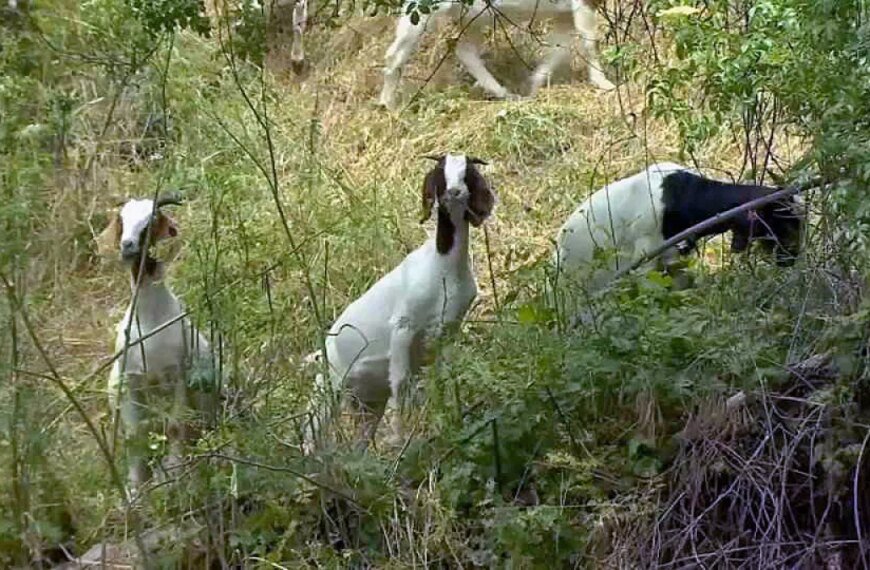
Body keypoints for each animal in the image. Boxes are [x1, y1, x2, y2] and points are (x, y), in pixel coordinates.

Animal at [98, 196, 219, 491]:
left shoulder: (177, 375)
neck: (151, 320)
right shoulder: (130, 382)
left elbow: (176, 426)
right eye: (122, 220)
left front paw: (175, 473)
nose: (127, 245)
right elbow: (134, 437)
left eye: (151, 221)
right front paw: (135, 488)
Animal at [305, 153, 497, 451]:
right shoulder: (402, 327)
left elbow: (443, 379)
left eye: (467, 173)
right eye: (441, 173)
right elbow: (401, 382)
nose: (454, 192)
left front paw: (448, 420)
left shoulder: (447, 331)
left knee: (362, 435)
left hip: (367, 400)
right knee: (311, 429)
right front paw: (399, 437)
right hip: (327, 386)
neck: (443, 267)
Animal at [378, 0, 615, 109]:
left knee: (463, 48)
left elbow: (560, 49)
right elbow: (589, 43)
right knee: (395, 53)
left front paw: (532, 87)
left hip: (473, 16)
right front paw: (605, 83)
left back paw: (504, 93)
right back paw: (389, 107)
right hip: (422, 9)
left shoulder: (564, 14)